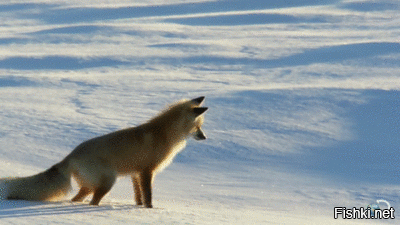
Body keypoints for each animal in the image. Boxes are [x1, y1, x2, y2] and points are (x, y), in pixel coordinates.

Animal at [0, 96, 209, 207]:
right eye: (198, 127)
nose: (205, 137)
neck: (163, 134)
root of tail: (71, 155)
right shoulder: (146, 171)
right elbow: (148, 195)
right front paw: (150, 210)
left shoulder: (135, 174)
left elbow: (138, 196)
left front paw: (139, 208)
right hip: (108, 181)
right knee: (93, 201)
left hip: (90, 185)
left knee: (77, 198)